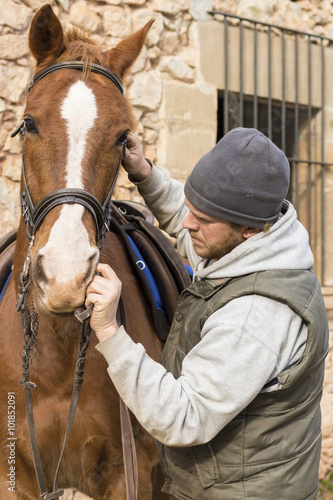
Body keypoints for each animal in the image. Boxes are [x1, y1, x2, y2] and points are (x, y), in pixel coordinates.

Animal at [0, 4, 175, 500]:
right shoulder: (13, 475)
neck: (56, 354)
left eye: (122, 136)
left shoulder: (128, 474)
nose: (66, 276)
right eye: (29, 123)